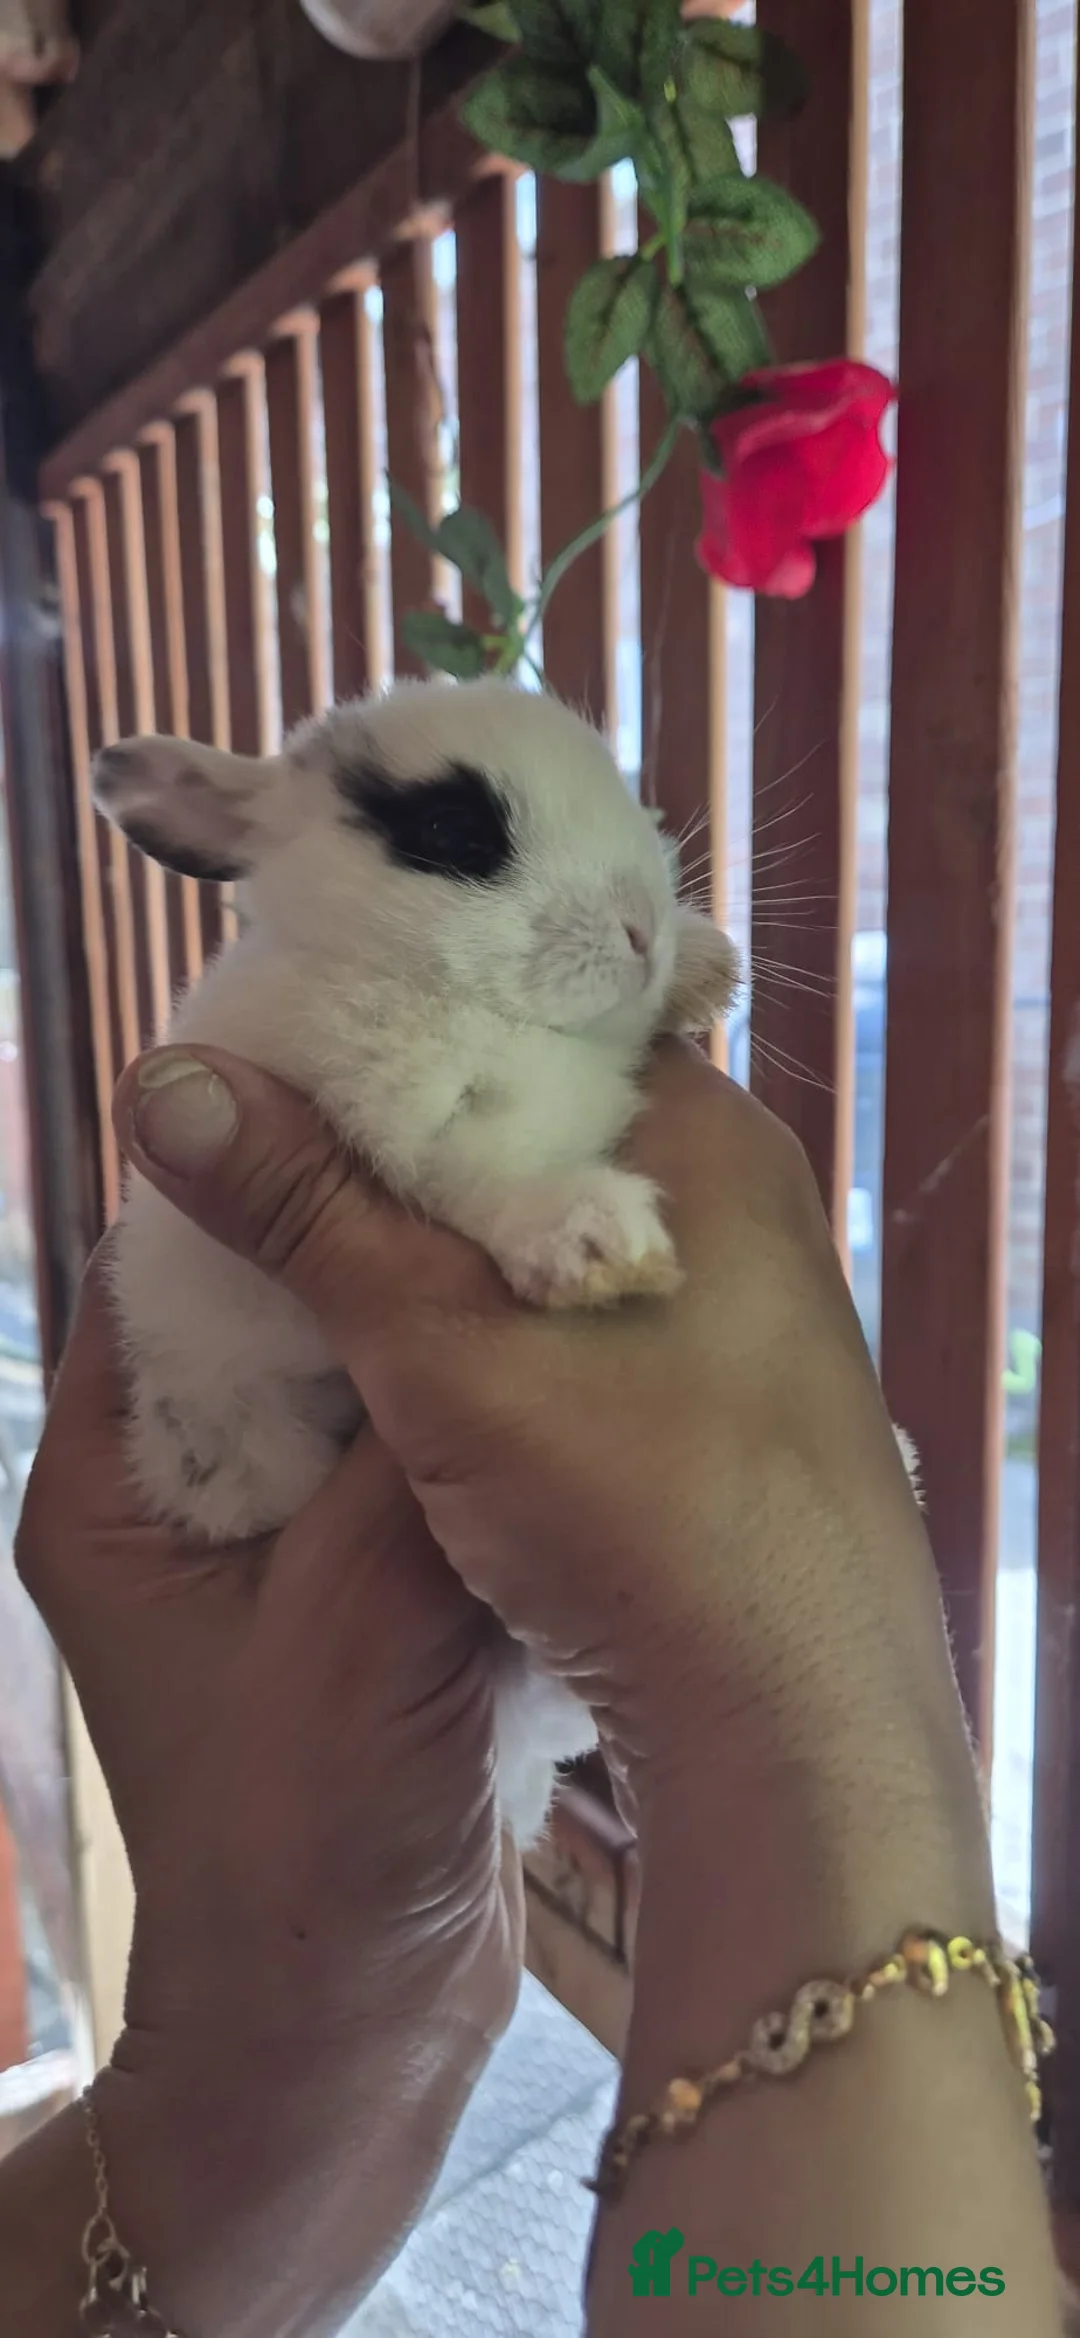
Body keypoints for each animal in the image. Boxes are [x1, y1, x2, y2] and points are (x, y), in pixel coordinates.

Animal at [92, 677, 741, 1845]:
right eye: (452, 835)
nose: (643, 929)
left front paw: (708, 969)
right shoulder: (403, 1120)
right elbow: (482, 1179)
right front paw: (598, 1247)